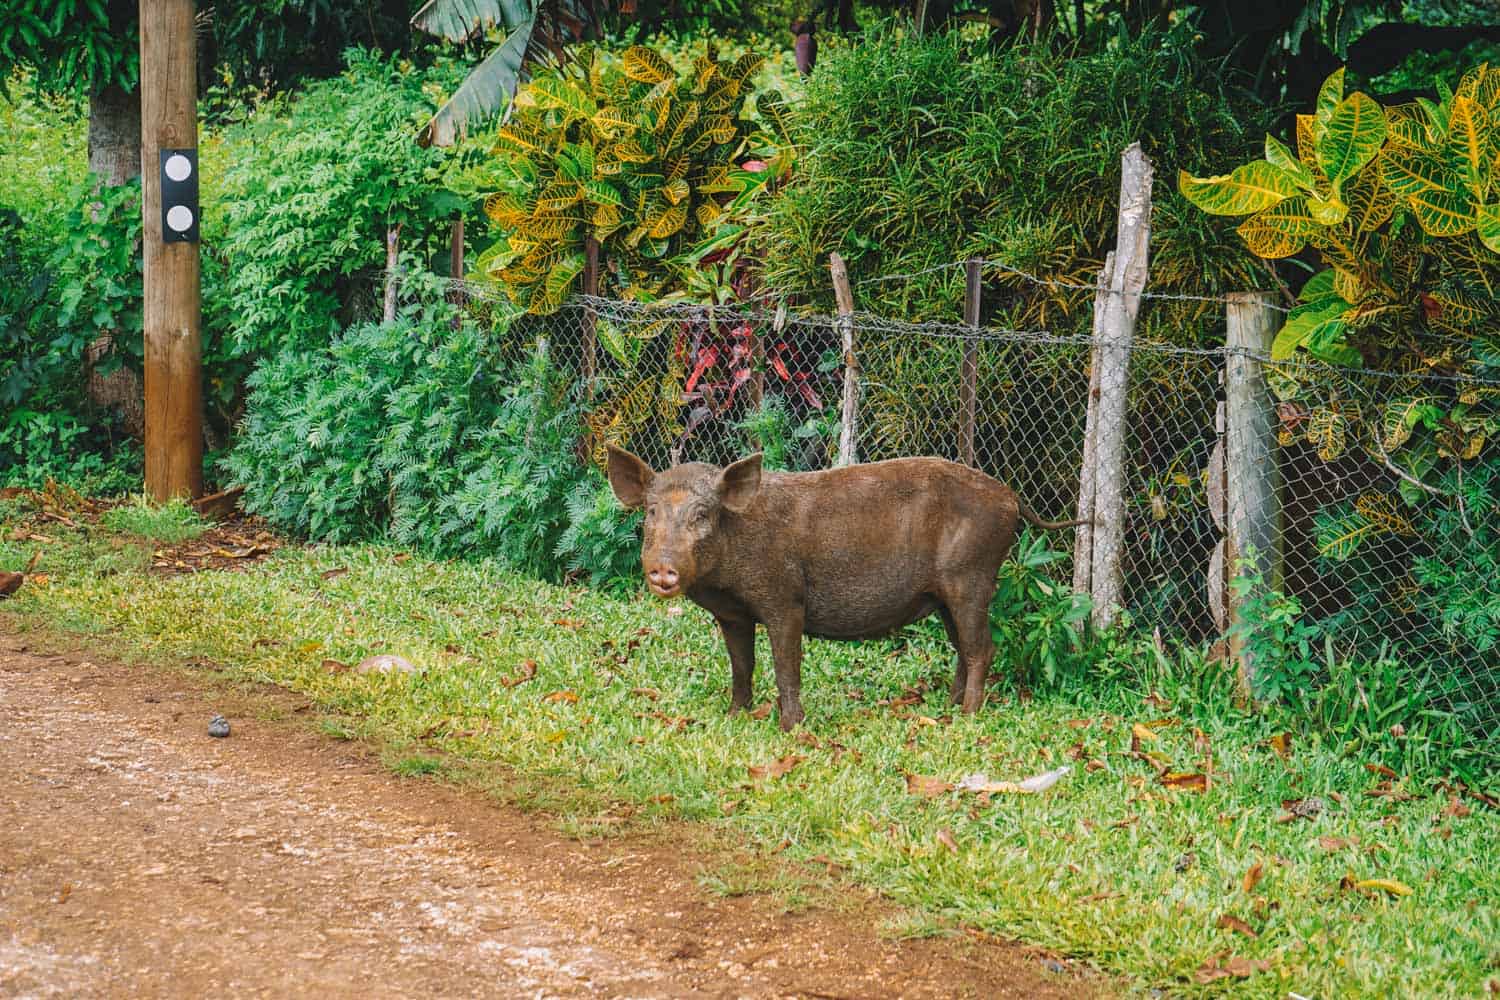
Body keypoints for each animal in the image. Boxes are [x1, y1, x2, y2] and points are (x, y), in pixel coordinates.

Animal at [603, 449, 1086, 731]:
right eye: (651, 511)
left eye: (703, 514)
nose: (662, 569)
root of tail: (1012, 498)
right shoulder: (732, 613)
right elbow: (742, 665)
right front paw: (734, 716)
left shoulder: (785, 598)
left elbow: (786, 665)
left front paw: (791, 729)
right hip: (946, 595)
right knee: (965, 649)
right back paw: (948, 709)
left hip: (972, 576)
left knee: (982, 647)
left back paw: (966, 718)